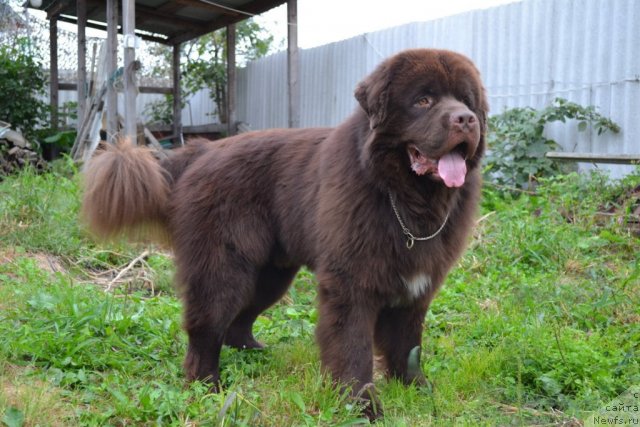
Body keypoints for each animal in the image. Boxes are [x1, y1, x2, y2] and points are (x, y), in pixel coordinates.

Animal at [82, 48, 488, 420]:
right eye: (423, 100)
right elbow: (352, 347)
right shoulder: (351, 284)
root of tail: (201, 150)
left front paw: (417, 390)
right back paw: (208, 385)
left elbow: (407, 346)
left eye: (467, 102)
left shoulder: (415, 287)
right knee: (206, 326)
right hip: (223, 267)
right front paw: (360, 404)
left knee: (240, 320)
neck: (403, 198)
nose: (466, 119)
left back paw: (256, 352)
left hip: (270, 274)